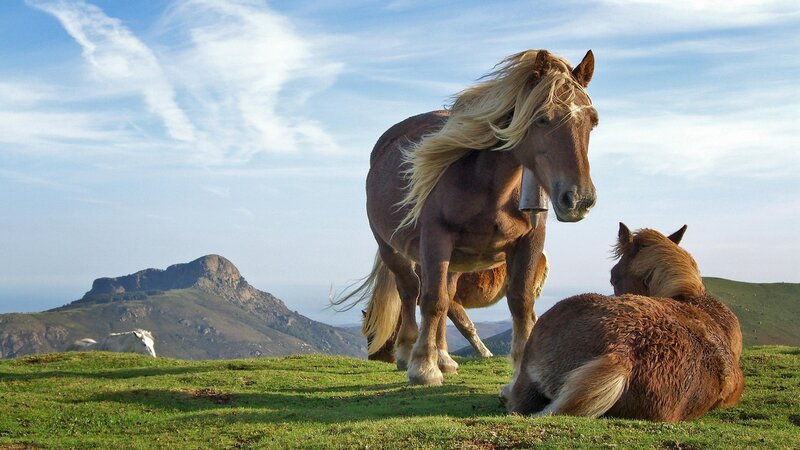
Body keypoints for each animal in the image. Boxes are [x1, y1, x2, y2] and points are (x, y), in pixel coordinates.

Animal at [335, 49, 598, 385]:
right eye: (542, 119)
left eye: (592, 122)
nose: (578, 199)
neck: (490, 186)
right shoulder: (436, 239)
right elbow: (432, 301)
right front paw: (423, 368)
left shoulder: (530, 241)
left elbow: (521, 302)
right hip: (392, 247)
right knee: (410, 290)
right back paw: (409, 352)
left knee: (445, 295)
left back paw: (444, 357)